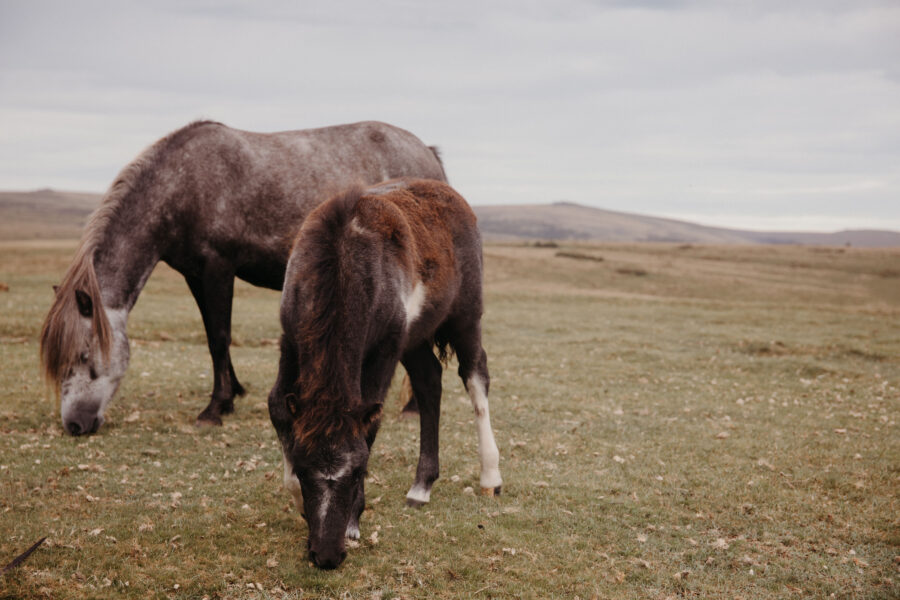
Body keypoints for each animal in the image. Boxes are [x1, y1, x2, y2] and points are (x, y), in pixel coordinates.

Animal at [39, 120, 445, 436]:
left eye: (84, 355)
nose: (74, 425)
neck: (185, 184)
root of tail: (427, 153)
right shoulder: (195, 275)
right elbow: (211, 336)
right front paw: (232, 393)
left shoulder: (218, 268)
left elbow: (220, 336)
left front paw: (214, 409)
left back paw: (412, 407)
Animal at [268, 178, 502, 569]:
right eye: (302, 469)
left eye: (358, 471)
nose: (326, 556)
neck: (342, 259)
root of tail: (451, 195)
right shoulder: (291, 340)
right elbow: (278, 407)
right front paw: (299, 503)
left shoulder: (387, 347)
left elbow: (371, 423)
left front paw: (352, 521)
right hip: (416, 337)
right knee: (429, 382)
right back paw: (422, 487)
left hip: (465, 316)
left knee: (475, 375)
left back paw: (490, 476)